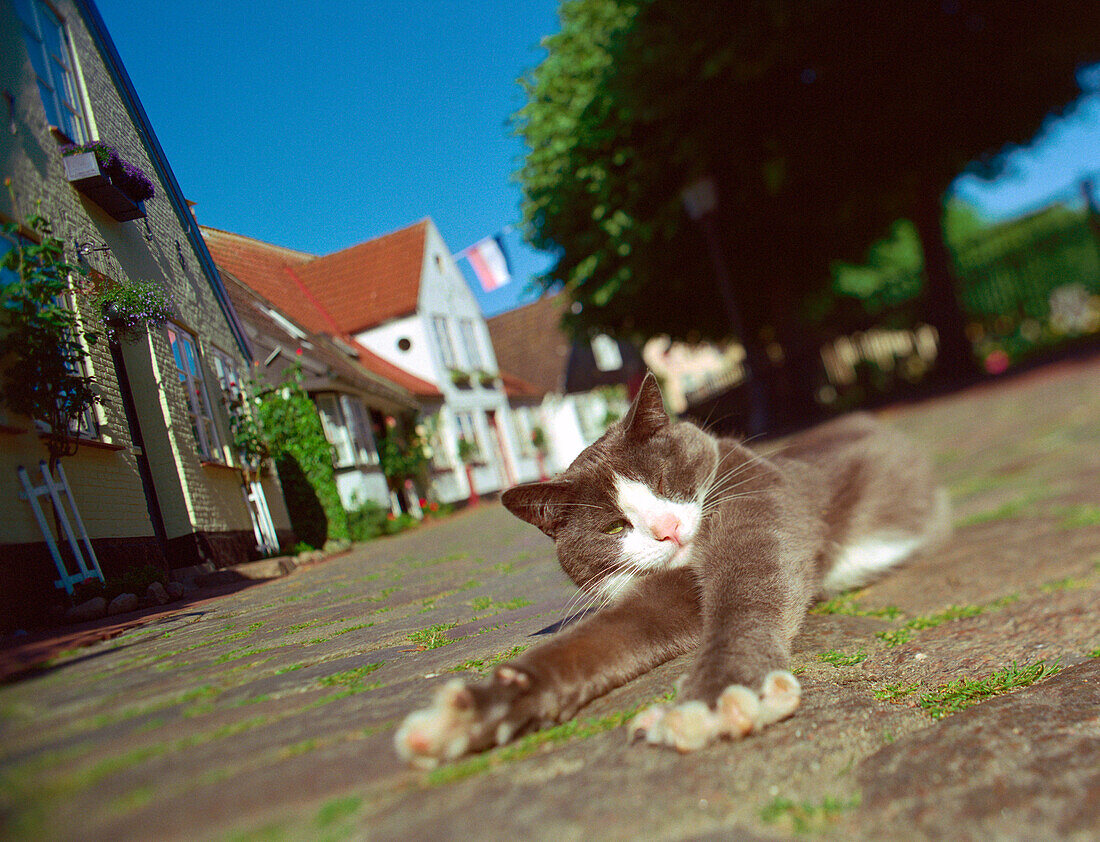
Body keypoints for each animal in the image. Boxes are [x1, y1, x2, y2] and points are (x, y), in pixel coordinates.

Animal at [393, 372, 946, 766]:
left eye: (662, 480)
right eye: (615, 526)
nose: (668, 530)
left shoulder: (761, 495)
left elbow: (749, 585)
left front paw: (718, 697)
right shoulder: (657, 592)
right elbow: (607, 636)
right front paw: (472, 714)